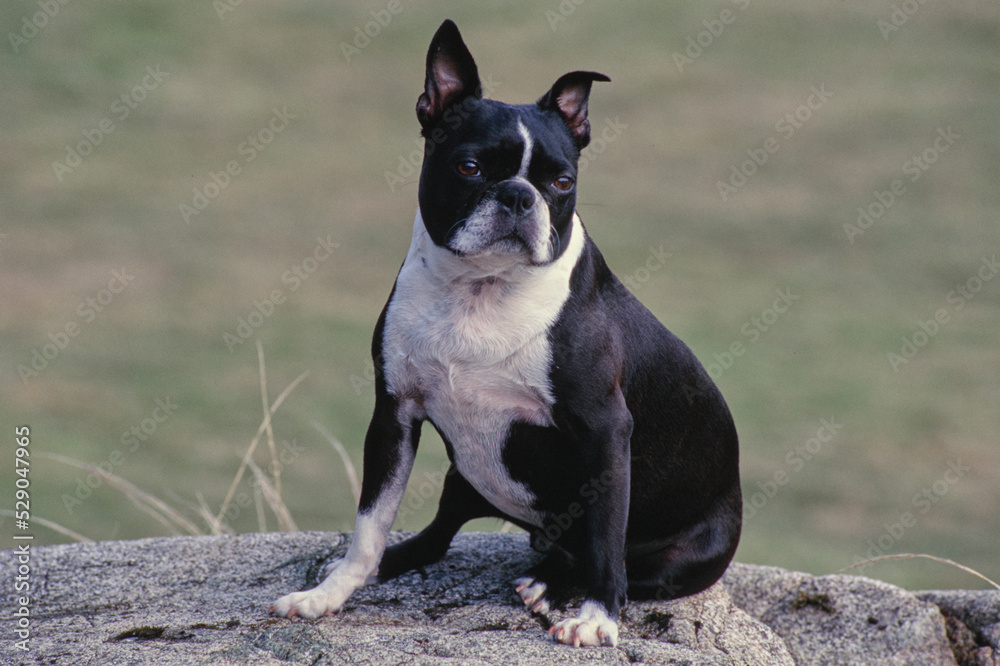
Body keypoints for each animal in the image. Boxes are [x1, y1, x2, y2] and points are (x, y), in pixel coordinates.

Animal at [270, 19, 740, 644]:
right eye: (469, 168)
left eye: (562, 181)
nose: (519, 194)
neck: (481, 291)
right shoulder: (393, 413)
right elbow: (371, 522)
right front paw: (329, 594)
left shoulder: (605, 430)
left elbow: (606, 540)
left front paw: (597, 619)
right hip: (464, 475)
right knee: (439, 536)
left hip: (686, 556)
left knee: (616, 562)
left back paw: (552, 583)